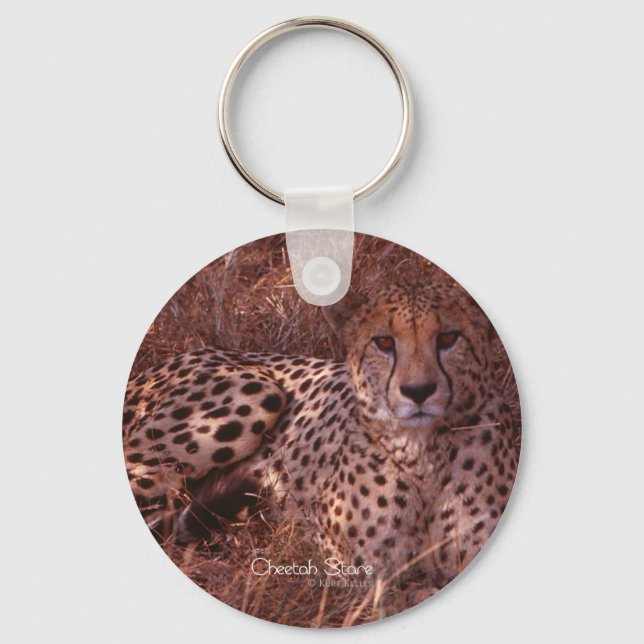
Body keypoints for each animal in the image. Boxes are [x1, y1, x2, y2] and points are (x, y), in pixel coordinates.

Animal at [123, 281, 520, 589]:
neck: (423, 453)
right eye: (383, 342)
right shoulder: (352, 570)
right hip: (255, 393)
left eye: (448, 338)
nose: (418, 391)